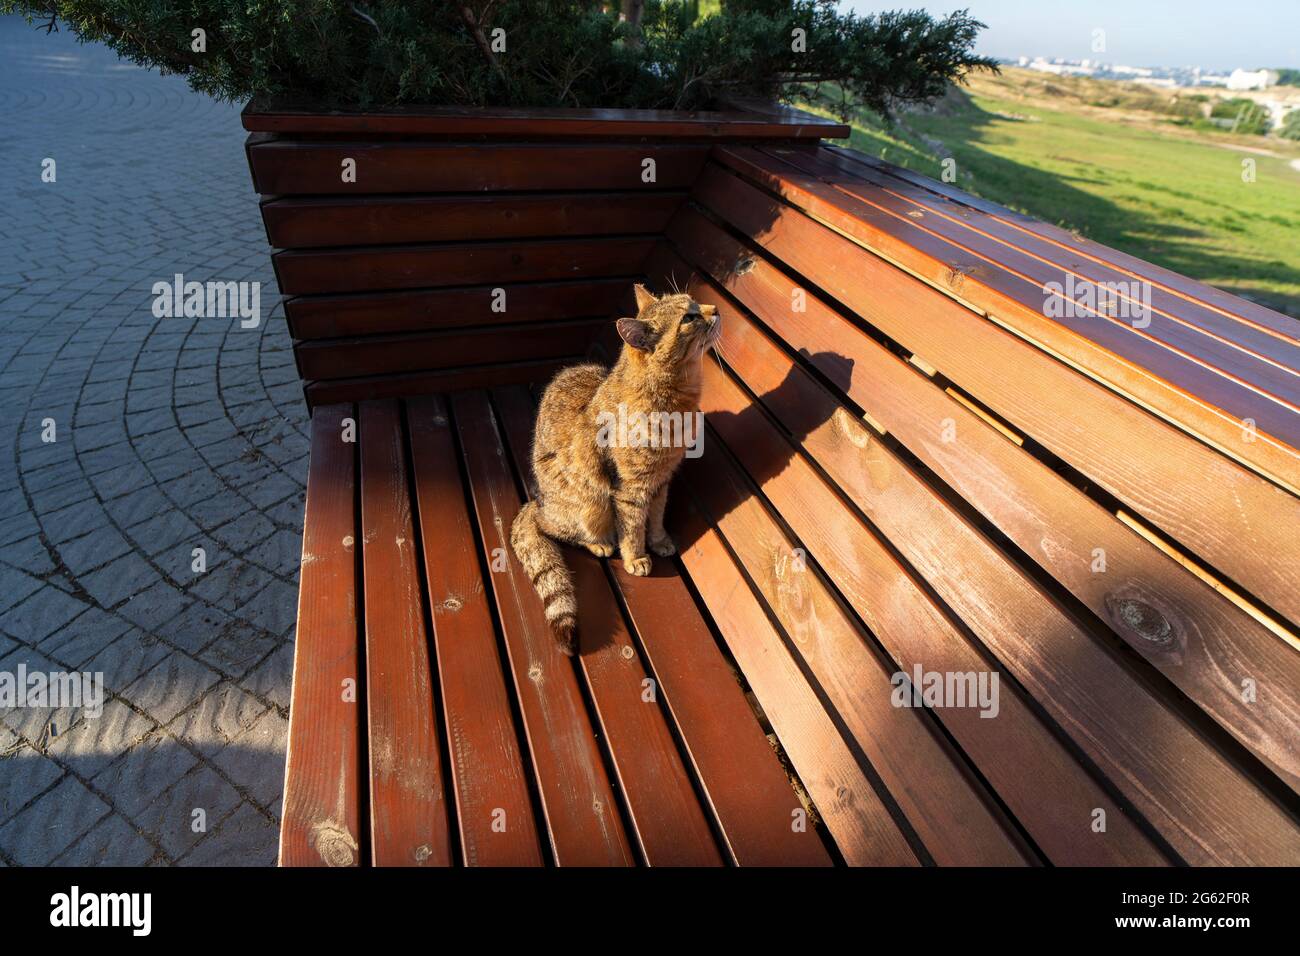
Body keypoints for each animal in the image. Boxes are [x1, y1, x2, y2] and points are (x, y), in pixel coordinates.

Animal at [509, 283, 722, 658]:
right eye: (689, 317)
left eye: (696, 304)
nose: (716, 310)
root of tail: (536, 501)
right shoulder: (631, 488)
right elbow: (633, 527)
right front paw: (636, 557)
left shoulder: (662, 481)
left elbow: (656, 519)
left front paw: (660, 541)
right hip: (589, 505)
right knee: (555, 528)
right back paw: (600, 545)